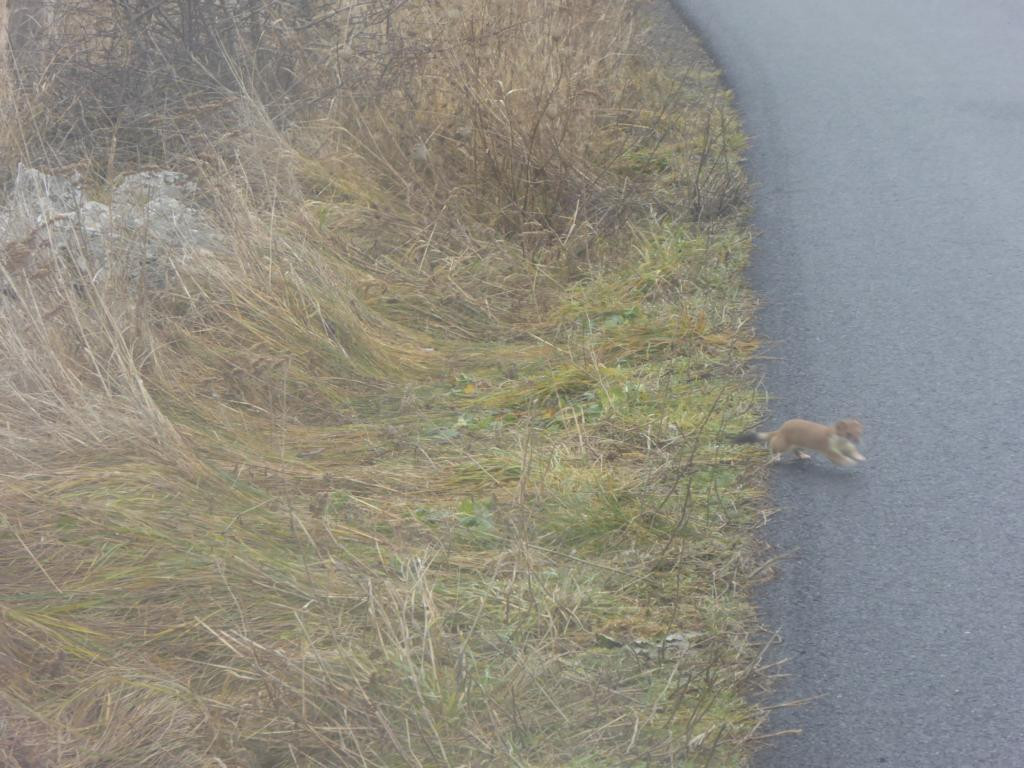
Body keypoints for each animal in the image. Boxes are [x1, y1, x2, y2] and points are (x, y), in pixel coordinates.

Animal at [733, 417, 868, 466]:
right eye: (848, 433)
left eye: (859, 432)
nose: (857, 440)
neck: (839, 444)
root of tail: (780, 429)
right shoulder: (828, 448)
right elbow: (837, 457)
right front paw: (849, 461)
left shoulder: (846, 446)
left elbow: (852, 450)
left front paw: (860, 457)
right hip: (783, 443)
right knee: (773, 445)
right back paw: (776, 457)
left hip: (797, 444)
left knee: (796, 451)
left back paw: (804, 456)